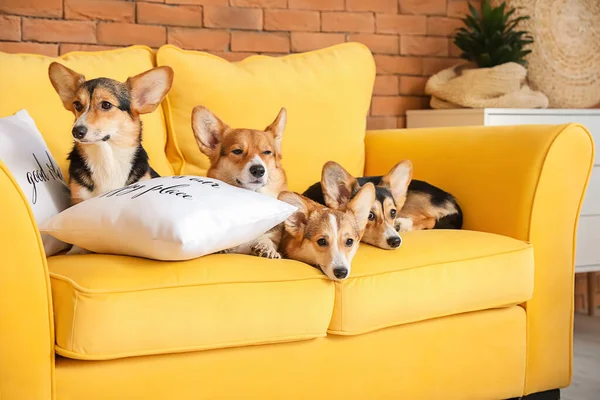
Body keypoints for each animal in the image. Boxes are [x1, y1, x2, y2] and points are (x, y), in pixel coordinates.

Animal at [304, 160, 464, 248]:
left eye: (392, 212)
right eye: (369, 215)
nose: (396, 241)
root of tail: (452, 199)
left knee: (431, 219)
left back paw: (402, 224)